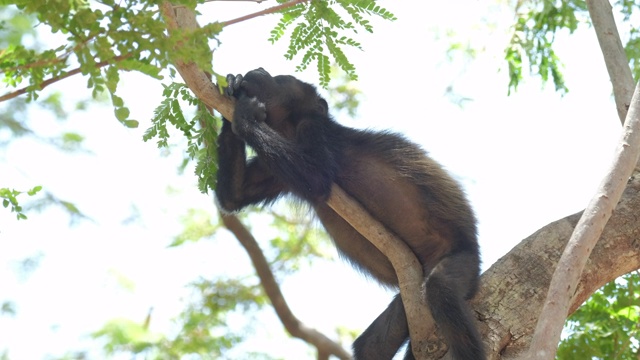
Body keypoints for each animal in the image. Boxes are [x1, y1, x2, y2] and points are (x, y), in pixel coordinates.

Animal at [216, 68, 484, 360]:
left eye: (282, 78)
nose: (260, 70)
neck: (287, 127)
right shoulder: (272, 171)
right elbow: (233, 197)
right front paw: (230, 92)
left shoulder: (313, 128)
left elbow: (316, 179)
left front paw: (244, 116)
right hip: (409, 302)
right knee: (371, 346)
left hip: (464, 259)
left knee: (441, 288)